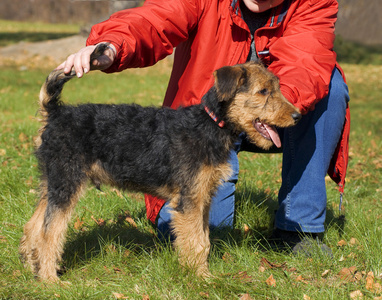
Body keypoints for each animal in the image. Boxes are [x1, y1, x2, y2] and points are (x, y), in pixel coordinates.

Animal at [19, 44, 302, 282]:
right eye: (263, 92)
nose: (298, 116)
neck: (210, 124)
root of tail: (55, 112)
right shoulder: (189, 201)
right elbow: (197, 243)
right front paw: (203, 280)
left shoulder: (202, 198)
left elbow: (203, 239)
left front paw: (198, 273)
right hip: (67, 183)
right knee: (49, 232)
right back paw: (50, 280)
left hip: (52, 182)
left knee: (33, 225)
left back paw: (31, 268)